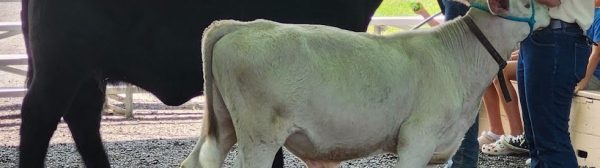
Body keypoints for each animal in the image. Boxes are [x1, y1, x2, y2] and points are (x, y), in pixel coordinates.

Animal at [182, 0, 548, 167]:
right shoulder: (417, 137)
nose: (552, 7)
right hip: (259, 136)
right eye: (526, 3)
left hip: (225, 124)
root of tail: (240, 25)